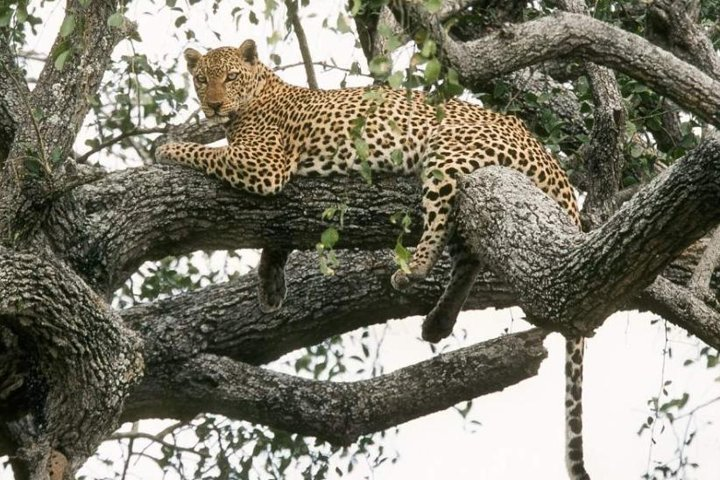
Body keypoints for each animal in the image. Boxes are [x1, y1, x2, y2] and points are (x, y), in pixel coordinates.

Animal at [155, 39, 589, 480]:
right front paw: (271, 285)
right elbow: (277, 238)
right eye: (202, 79)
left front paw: (166, 149)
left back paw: (412, 271)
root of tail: (550, 159)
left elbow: (205, 152)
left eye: (230, 77)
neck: (257, 93)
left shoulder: (264, 164)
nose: (212, 105)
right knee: (468, 253)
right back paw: (439, 320)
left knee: (443, 221)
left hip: (448, 151)